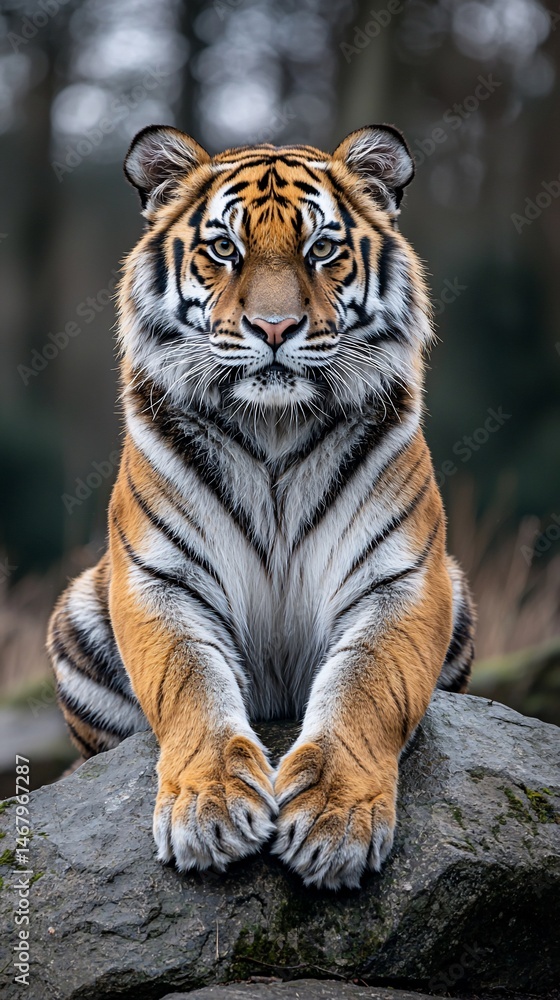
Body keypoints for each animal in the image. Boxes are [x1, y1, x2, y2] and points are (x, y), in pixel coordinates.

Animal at [47, 123, 475, 890]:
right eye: (225, 249)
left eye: (322, 249)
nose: (274, 327)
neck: (275, 428)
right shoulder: (161, 579)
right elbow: (191, 683)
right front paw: (209, 810)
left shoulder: (401, 581)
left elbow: (365, 686)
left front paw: (334, 819)